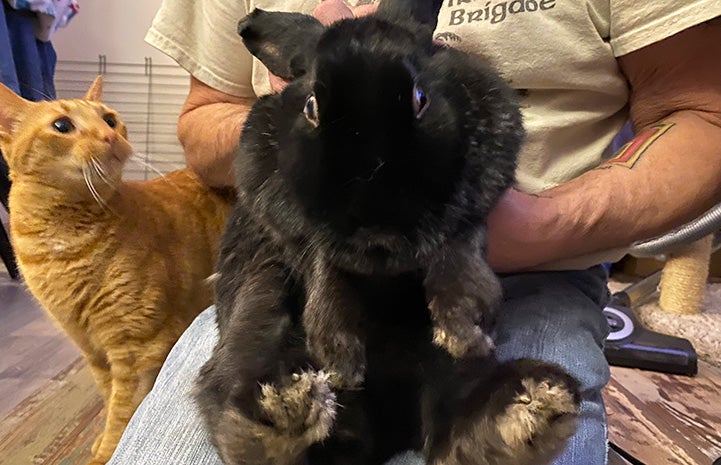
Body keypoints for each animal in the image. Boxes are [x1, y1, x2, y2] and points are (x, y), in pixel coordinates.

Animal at [0, 77, 231, 464]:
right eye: (62, 126)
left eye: (109, 119)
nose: (109, 136)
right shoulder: (92, 350)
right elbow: (109, 398)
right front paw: (102, 442)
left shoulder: (138, 348)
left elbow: (123, 411)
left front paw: (104, 452)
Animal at [194, 0, 584, 462]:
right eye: (311, 108)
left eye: (420, 99)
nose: (376, 226)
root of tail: (390, 435)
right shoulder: (274, 206)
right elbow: (319, 257)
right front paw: (338, 354)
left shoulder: (480, 191)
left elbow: (460, 238)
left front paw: (459, 323)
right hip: (261, 306)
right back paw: (286, 405)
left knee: (454, 434)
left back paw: (532, 400)